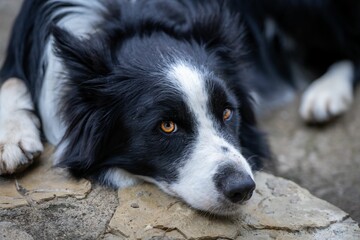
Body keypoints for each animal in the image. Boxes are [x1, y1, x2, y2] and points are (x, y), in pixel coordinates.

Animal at [0, 0, 358, 214]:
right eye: (167, 126)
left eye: (227, 112)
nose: (243, 189)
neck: (128, 18)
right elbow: (11, 81)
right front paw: (13, 142)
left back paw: (325, 95)